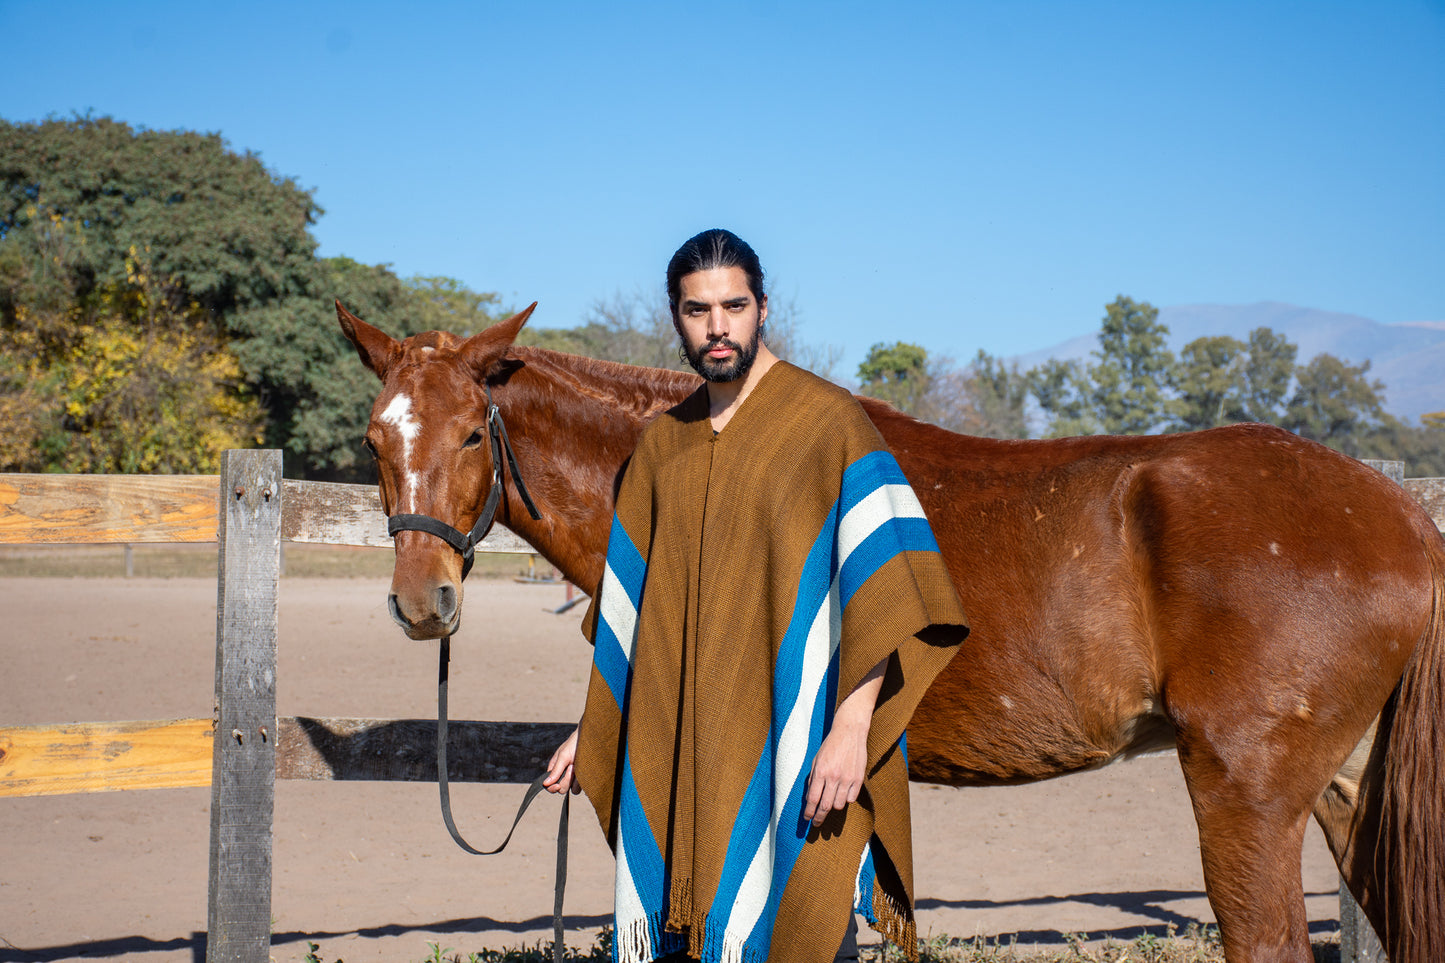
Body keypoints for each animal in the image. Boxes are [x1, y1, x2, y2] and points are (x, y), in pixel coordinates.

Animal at [335, 300, 1445, 960]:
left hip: (1244, 796)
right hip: (1345, 796)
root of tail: (1399, 513)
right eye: (375, 437)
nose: (422, 601)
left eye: (471, 433)